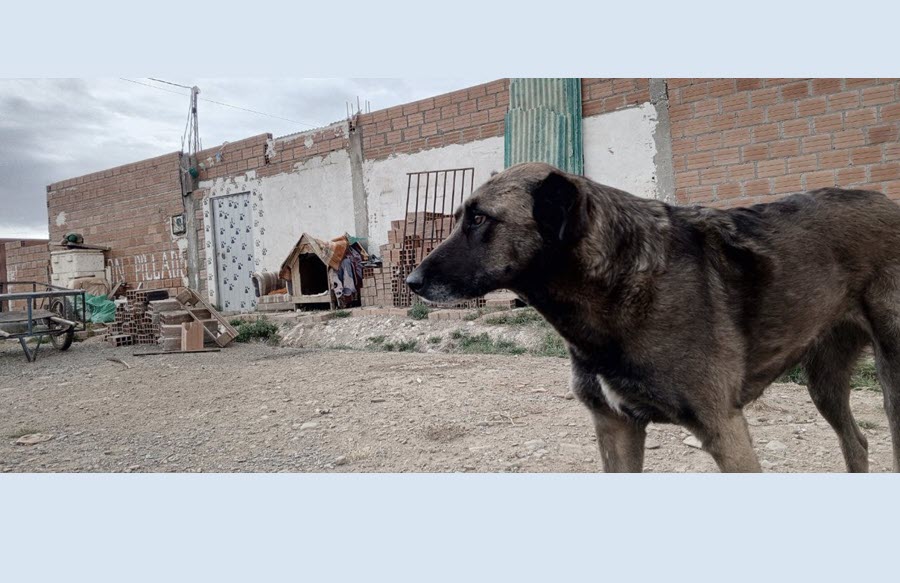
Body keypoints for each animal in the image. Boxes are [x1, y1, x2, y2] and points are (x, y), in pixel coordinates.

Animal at [404, 162, 900, 472]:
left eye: (480, 220)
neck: (617, 283)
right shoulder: (615, 427)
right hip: (824, 382)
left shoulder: (725, 429)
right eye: (460, 218)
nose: (411, 280)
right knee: (857, 442)